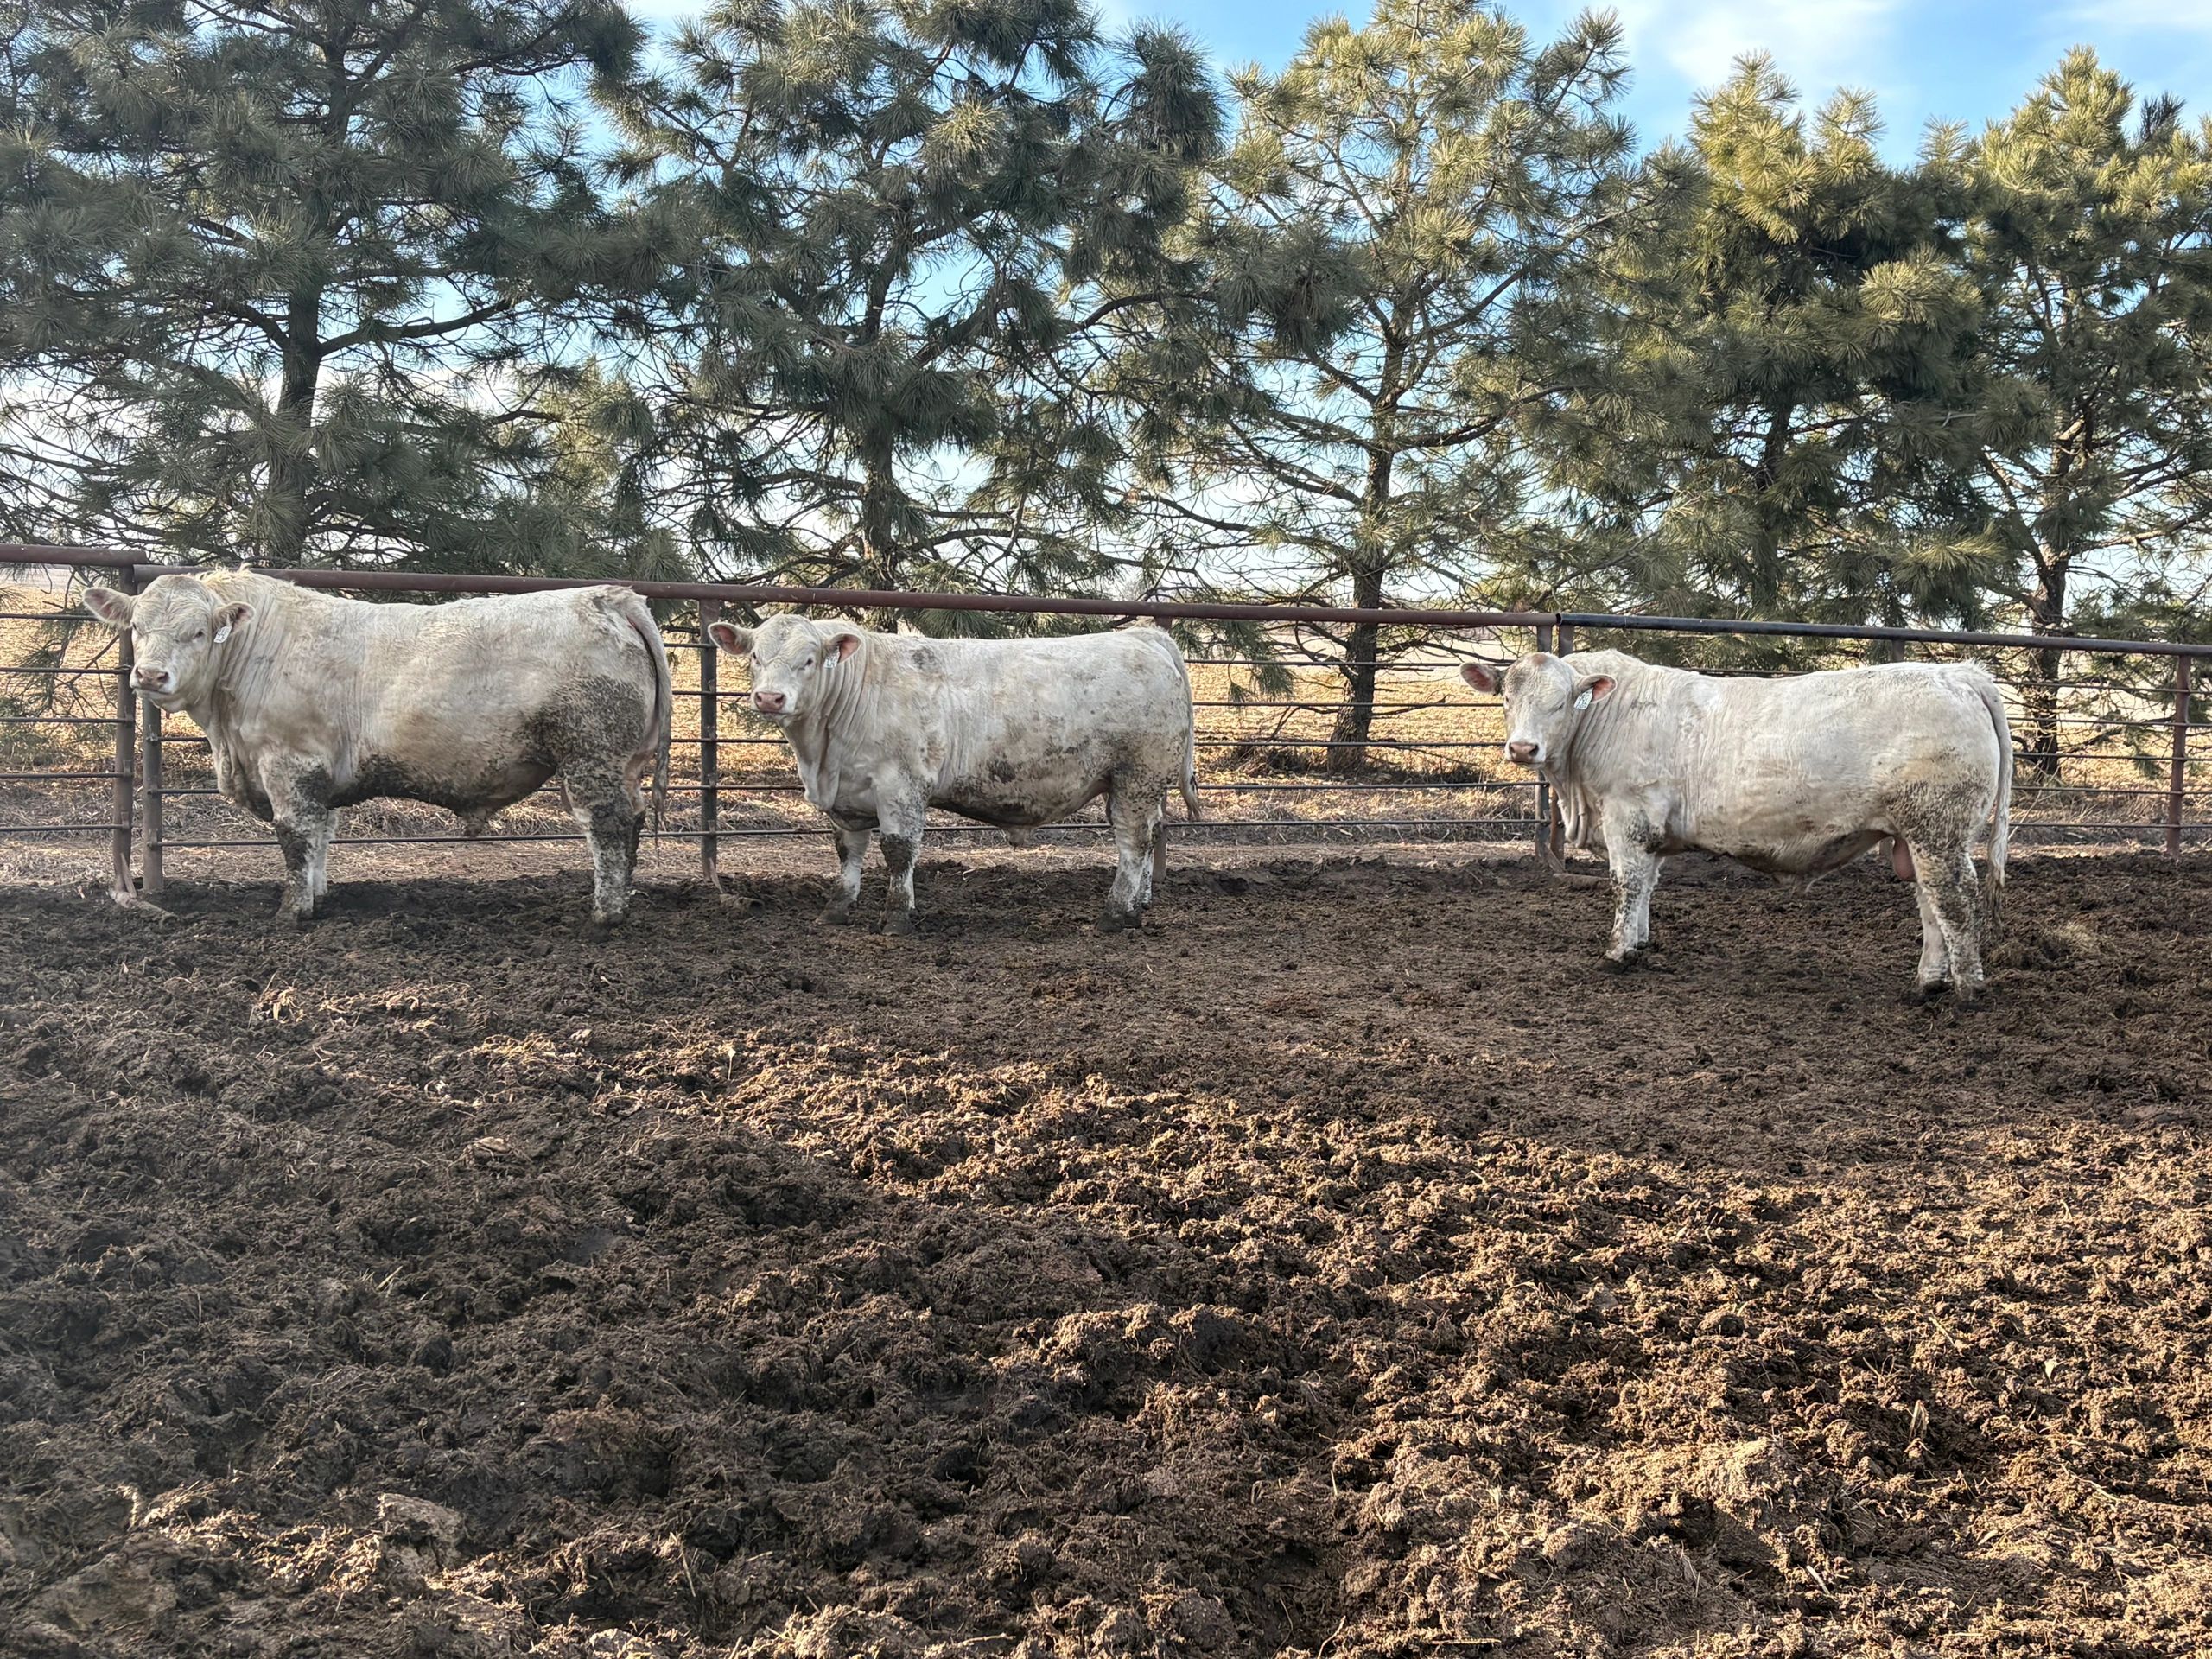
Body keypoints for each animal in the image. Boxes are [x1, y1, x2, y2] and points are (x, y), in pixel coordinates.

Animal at [82, 570, 671, 925]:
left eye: (199, 632)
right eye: (136, 628)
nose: (149, 675)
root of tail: (607, 596)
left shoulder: (288, 760)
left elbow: (295, 835)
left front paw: (292, 910)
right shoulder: (319, 771)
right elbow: (321, 835)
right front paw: (318, 896)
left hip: (590, 753)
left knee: (607, 825)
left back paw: (606, 912)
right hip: (624, 762)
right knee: (634, 818)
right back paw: (626, 898)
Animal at [706, 613, 1199, 933]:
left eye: (809, 660)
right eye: (754, 657)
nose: (770, 698)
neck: (822, 757)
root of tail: (1144, 637)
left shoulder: (901, 786)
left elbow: (899, 851)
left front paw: (897, 917)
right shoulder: (847, 797)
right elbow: (848, 853)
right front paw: (835, 910)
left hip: (1136, 776)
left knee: (1132, 842)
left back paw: (1113, 915)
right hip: (1142, 785)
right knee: (1153, 832)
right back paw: (1137, 909)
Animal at [1460, 649, 2014, 1001]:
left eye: (1559, 702)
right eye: (1506, 699)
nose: (1523, 748)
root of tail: (1959, 675)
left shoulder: (1627, 815)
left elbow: (1626, 883)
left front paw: (1616, 953)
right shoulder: (1650, 829)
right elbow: (1647, 886)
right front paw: (1639, 944)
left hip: (1938, 829)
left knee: (1954, 900)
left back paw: (1967, 989)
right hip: (1917, 836)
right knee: (1930, 902)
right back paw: (1927, 984)